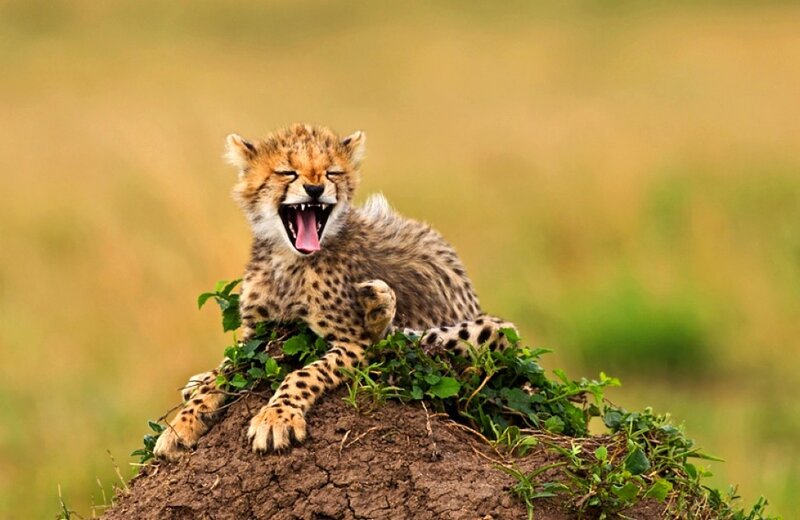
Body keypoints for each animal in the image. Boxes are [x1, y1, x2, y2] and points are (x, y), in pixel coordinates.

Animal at [153, 124, 517, 460]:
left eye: (331, 172)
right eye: (287, 172)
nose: (315, 189)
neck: (288, 259)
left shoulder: (352, 342)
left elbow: (303, 373)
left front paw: (276, 418)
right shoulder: (255, 336)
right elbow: (223, 373)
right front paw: (182, 424)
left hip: (494, 332)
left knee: (403, 339)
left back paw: (378, 307)